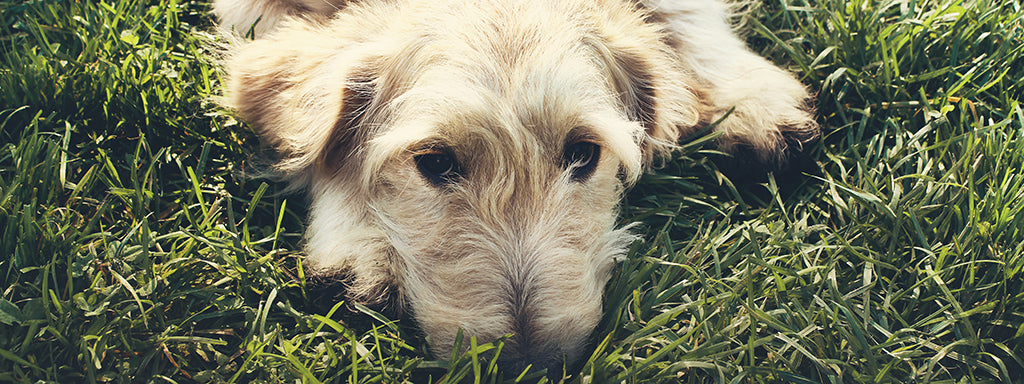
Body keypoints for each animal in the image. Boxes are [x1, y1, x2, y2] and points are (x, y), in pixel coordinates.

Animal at [214, 0, 815, 376]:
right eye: (434, 162)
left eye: (583, 153)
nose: (528, 366)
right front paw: (360, 244)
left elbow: (690, 21)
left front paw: (754, 100)